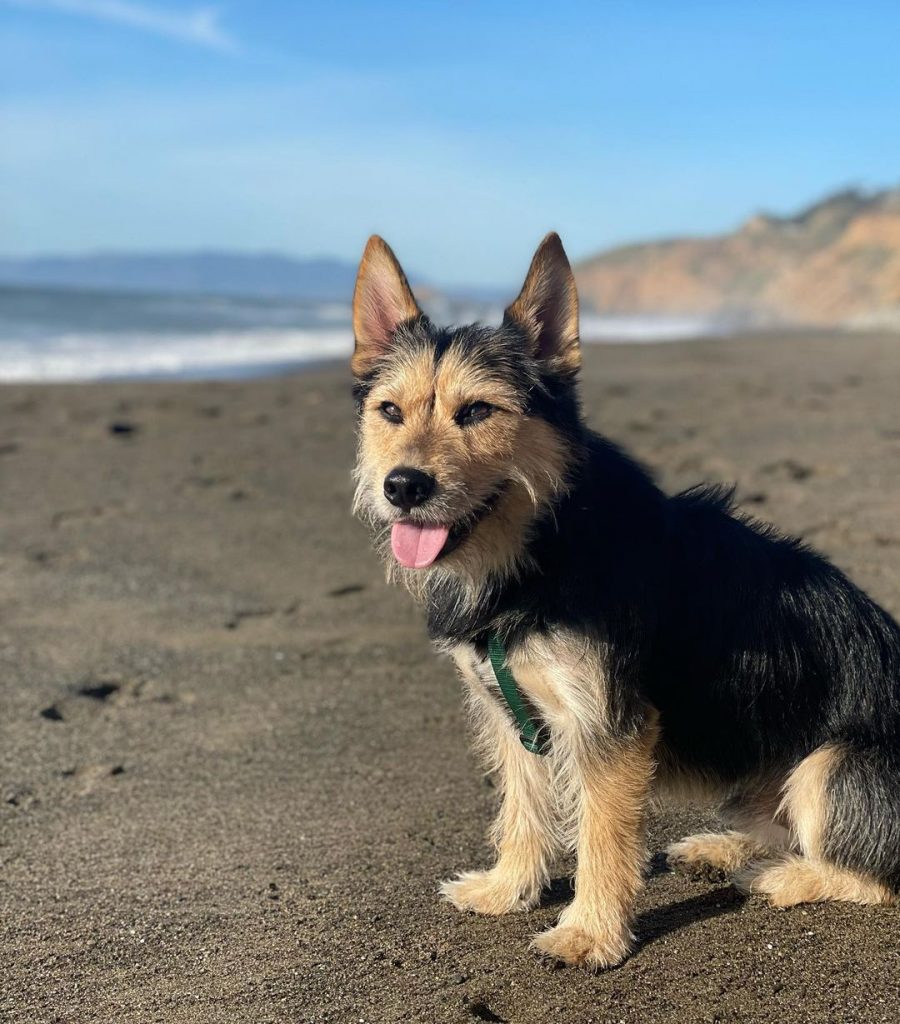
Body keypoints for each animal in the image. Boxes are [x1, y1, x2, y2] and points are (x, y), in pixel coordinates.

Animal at [350, 230, 900, 966]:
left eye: (477, 411)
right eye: (389, 411)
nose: (403, 486)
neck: (540, 549)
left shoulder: (611, 725)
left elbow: (602, 836)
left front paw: (589, 932)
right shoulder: (508, 710)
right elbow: (521, 809)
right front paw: (507, 888)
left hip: (832, 765)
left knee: (873, 872)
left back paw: (779, 875)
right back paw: (723, 848)